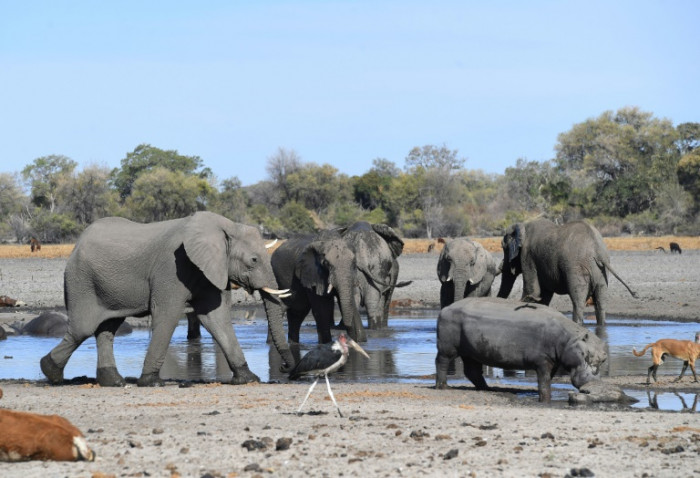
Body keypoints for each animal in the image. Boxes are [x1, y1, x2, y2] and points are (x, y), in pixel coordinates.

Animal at [40, 211, 294, 387]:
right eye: (253, 260)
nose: (284, 367)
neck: (224, 226)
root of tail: (76, 245)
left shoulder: (209, 270)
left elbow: (216, 318)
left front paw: (248, 378)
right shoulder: (171, 268)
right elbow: (168, 314)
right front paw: (152, 382)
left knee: (107, 329)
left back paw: (113, 382)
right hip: (81, 280)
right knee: (82, 329)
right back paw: (50, 372)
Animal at [435, 297, 608, 402]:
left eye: (604, 359)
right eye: (587, 355)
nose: (593, 382)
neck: (568, 339)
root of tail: (445, 308)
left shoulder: (553, 361)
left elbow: (548, 380)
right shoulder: (542, 360)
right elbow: (544, 381)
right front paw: (545, 400)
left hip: (472, 352)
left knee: (472, 371)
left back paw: (487, 388)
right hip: (447, 348)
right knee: (441, 362)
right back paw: (443, 387)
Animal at [497, 218, 637, 325]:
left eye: (503, 248)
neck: (523, 225)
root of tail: (597, 250)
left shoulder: (527, 256)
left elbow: (533, 292)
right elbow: (545, 296)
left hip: (576, 268)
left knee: (578, 300)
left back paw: (577, 323)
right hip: (601, 272)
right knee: (601, 302)